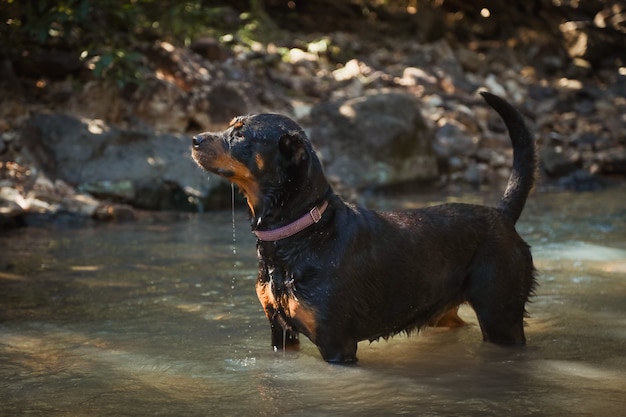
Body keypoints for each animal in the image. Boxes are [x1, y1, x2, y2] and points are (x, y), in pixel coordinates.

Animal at [191, 92, 536, 362]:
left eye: (240, 135)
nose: (194, 139)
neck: (300, 234)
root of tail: (501, 215)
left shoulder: (336, 343)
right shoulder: (281, 332)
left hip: (501, 316)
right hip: (445, 312)